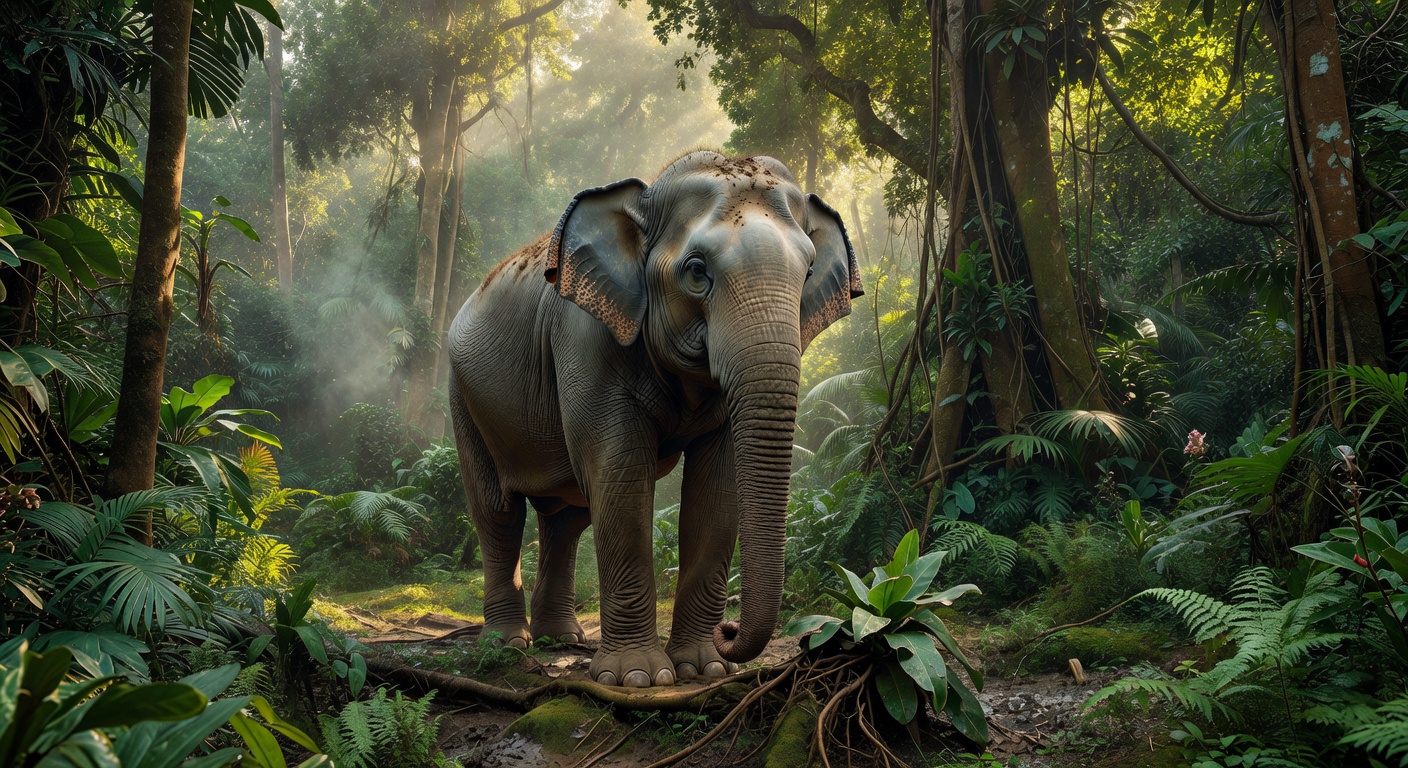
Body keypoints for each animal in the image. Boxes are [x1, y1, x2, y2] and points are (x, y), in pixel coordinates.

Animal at [447, 150, 862, 688]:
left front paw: (703, 668)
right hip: (462, 396)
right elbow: (620, 476)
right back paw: (506, 645)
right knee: (498, 510)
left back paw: (560, 640)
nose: (729, 630)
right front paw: (638, 678)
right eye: (696, 271)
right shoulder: (586, 336)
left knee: (568, 516)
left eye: (809, 270)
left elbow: (716, 489)